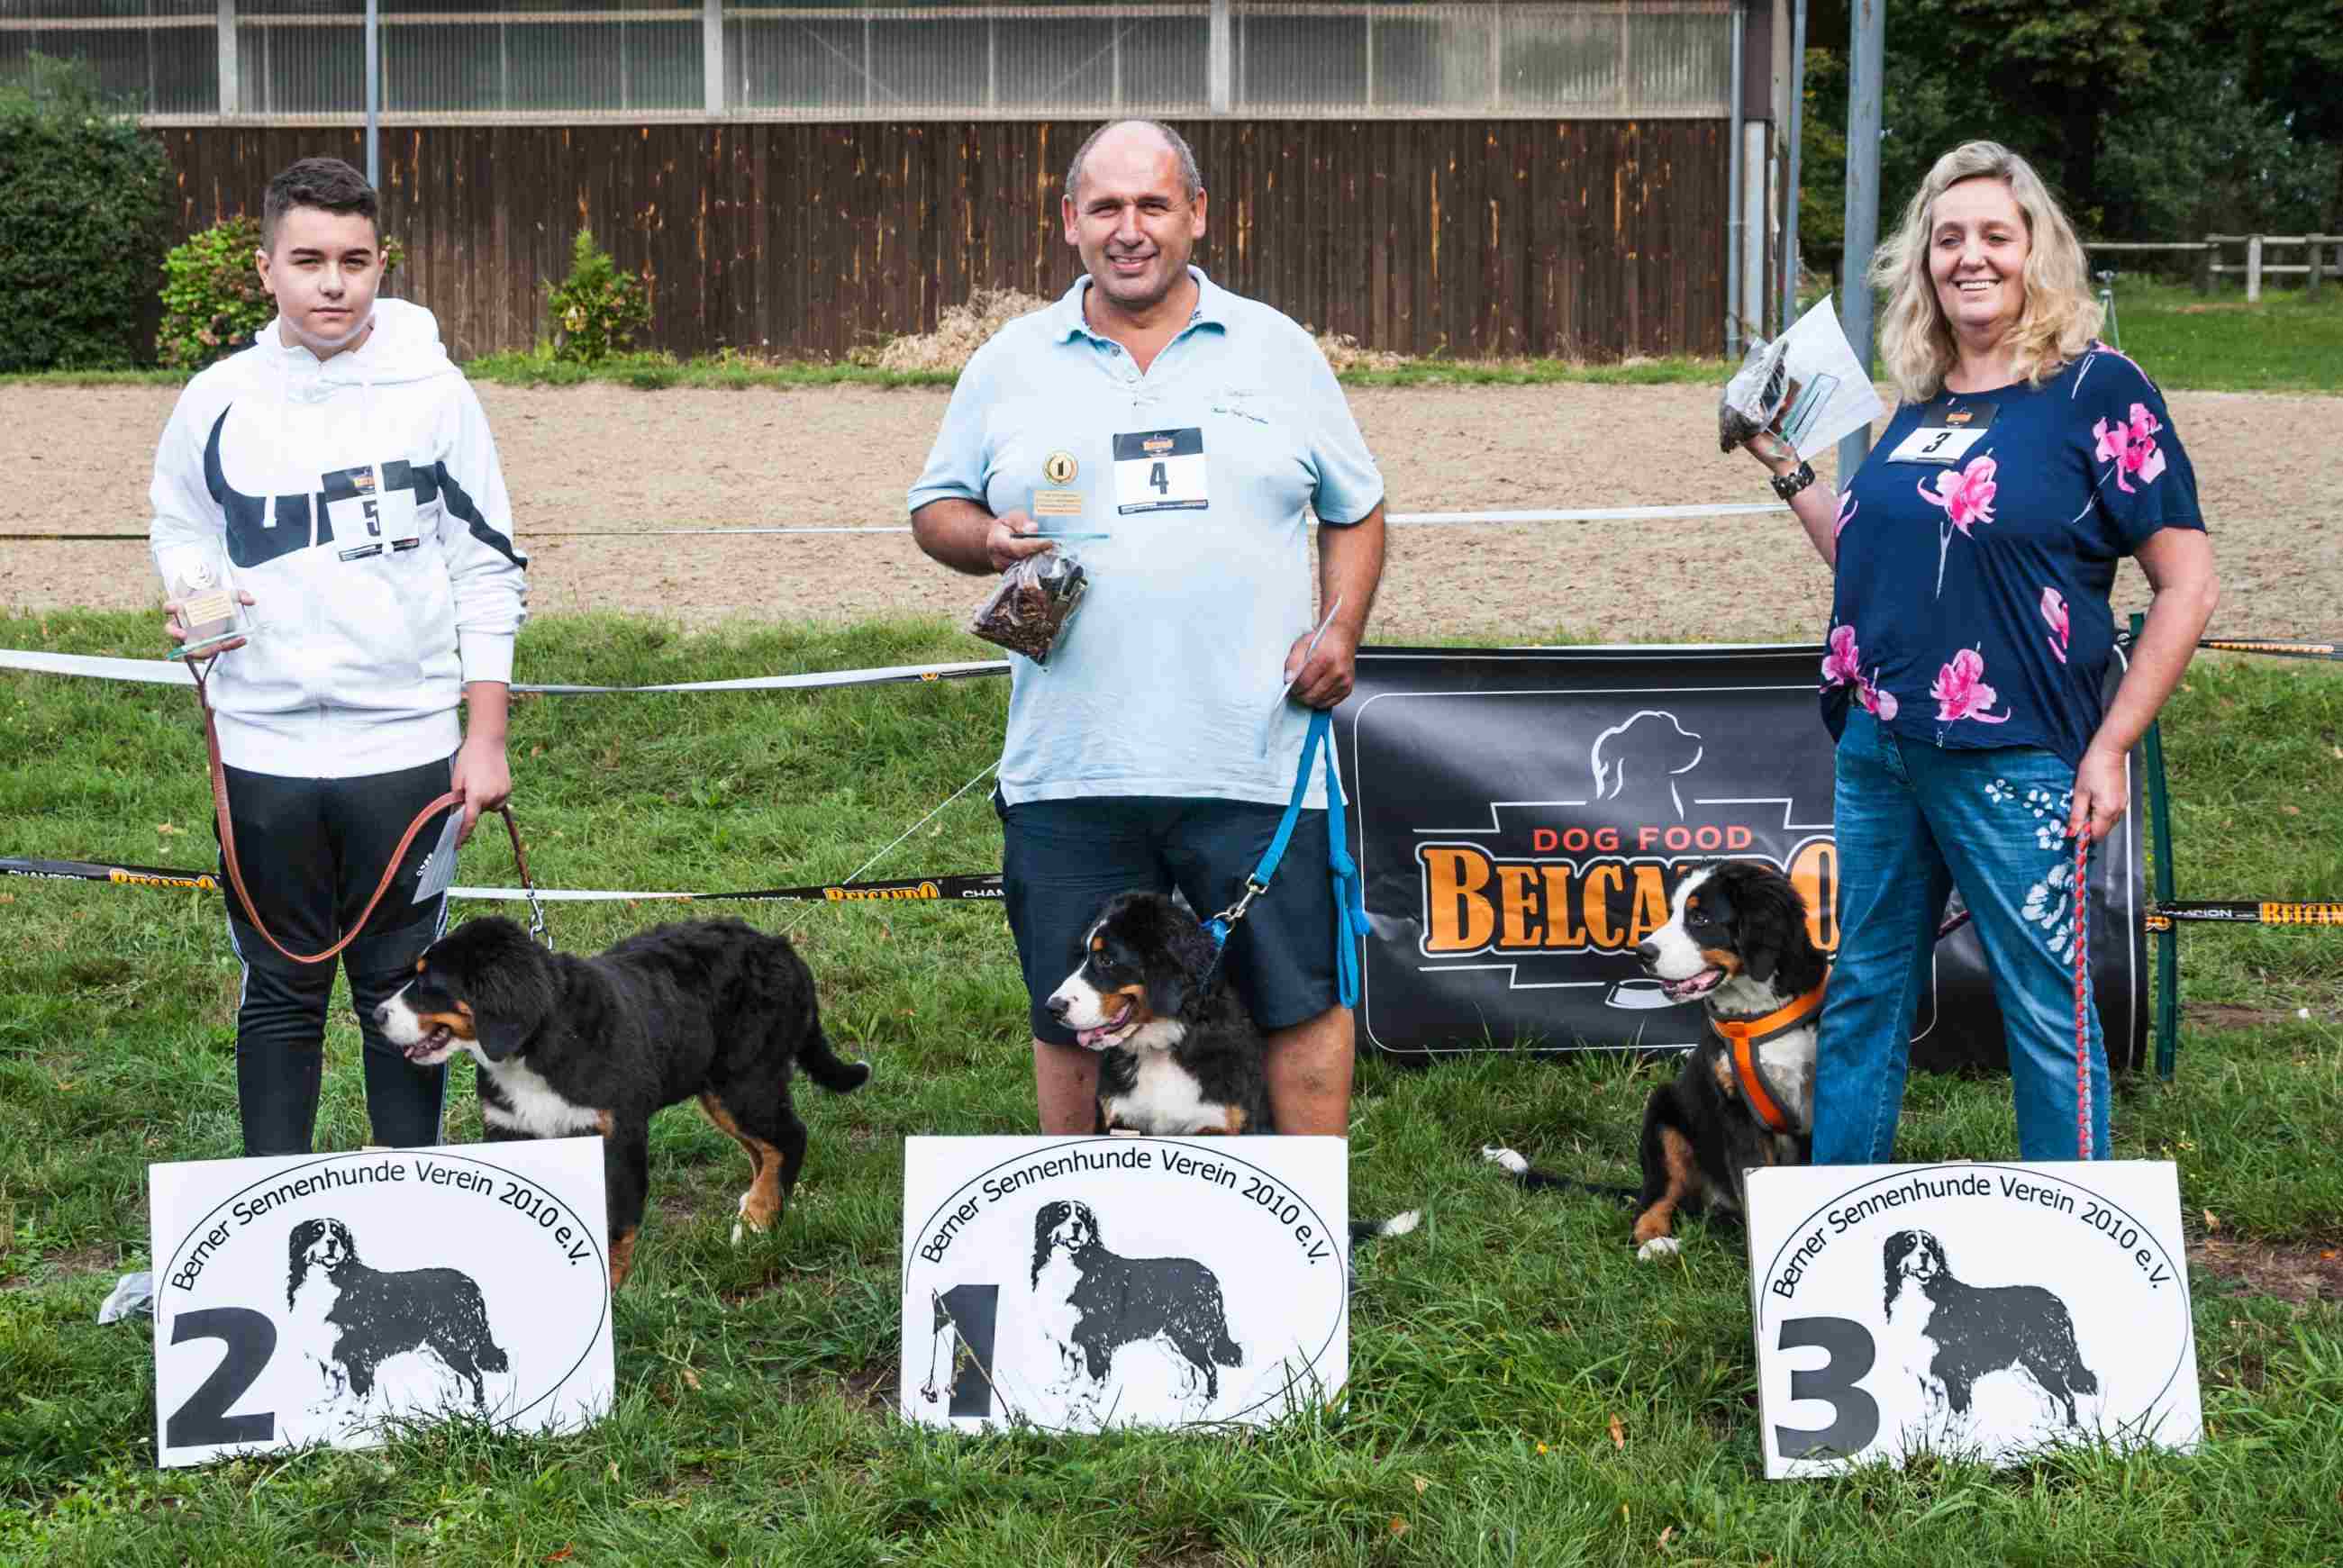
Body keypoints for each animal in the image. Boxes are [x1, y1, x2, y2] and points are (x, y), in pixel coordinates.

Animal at [286, 1217, 507, 1413]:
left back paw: (474, 1409)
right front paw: (326, 1405)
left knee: (475, 1376)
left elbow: (359, 1387)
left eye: (338, 1234)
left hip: (451, 1343)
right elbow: (331, 1383)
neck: (327, 1280)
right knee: (454, 1377)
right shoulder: (328, 1346)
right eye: (317, 1232)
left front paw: (351, 1415)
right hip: (433, 1349)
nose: (332, 1242)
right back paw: (452, 1407)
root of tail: (469, 1283)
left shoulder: (357, 1350)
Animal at [376, 915, 870, 1289]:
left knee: (789, 1138)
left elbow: (616, 1220)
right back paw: (752, 1209)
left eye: (429, 982)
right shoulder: (509, 1129)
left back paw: (762, 1221)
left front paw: (610, 1289)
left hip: (744, 1081)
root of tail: (782, 949)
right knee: (764, 1148)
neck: (537, 1048)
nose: (378, 1014)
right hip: (721, 1089)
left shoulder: (618, 1133)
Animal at [1029, 1198, 1243, 1413]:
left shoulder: (1095, 1337)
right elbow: (1068, 1364)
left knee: (1208, 1368)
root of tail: (1209, 1275)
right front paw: (1062, 1386)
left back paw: (1202, 1400)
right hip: (1169, 1339)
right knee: (1187, 1366)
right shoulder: (1066, 1329)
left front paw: (1086, 1398)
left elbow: (1095, 1373)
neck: (1068, 1264)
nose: (1077, 1225)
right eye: (1062, 1214)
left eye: (1082, 1217)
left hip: (1187, 1335)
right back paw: (1184, 1392)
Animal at [1484, 858, 1826, 1260]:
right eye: (1673, 912)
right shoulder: (1737, 1110)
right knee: (1652, 1204)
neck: (1756, 1009)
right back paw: (1657, 1244)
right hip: (1664, 1121)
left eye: (1700, 918)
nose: (1643, 953)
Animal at [1884, 1228, 2098, 1429]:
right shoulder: (1926, 1367)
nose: (1925, 1255)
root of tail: (2056, 1302)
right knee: (2047, 1398)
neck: (1922, 1295)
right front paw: (1926, 1431)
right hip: (2025, 1369)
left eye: (1929, 1246)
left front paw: (1952, 1435)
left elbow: (1958, 1409)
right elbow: (1931, 1406)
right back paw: (2045, 1429)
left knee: (2067, 1397)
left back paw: (2069, 1431)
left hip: (2043, 1362)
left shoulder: (1954, 1368)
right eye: (1909, 1244)